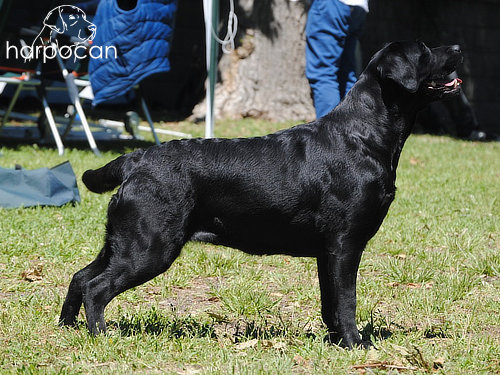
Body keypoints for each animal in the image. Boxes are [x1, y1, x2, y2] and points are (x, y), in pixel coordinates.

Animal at [60, 39, 462, 348]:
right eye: (424, 51)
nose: (458, 48)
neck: (364, 136)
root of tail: (136, 159)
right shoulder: (345, 244)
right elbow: (346, 301)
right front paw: (355, 343)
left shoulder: (326, 251)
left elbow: (329, 302)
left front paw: (334, 341)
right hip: (150, 246)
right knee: (96, 287)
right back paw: (100, 336)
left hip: (123, 240)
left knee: (80, 276)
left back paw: (66, 327)